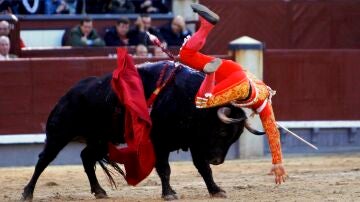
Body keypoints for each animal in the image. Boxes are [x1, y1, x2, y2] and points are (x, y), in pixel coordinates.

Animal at [21, 60, 262, 200]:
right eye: (221, 132)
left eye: (234, 139)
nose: (218, 160)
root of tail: (68, 93)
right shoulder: (159, 142)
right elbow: (165, 168)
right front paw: (169, 193)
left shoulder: (195, 142)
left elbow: (203, 168)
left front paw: (216, 190)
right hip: (59, 134)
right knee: (44, 160)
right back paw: (27, 192)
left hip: (101, 140)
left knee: (86, 158)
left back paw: (100, 192)